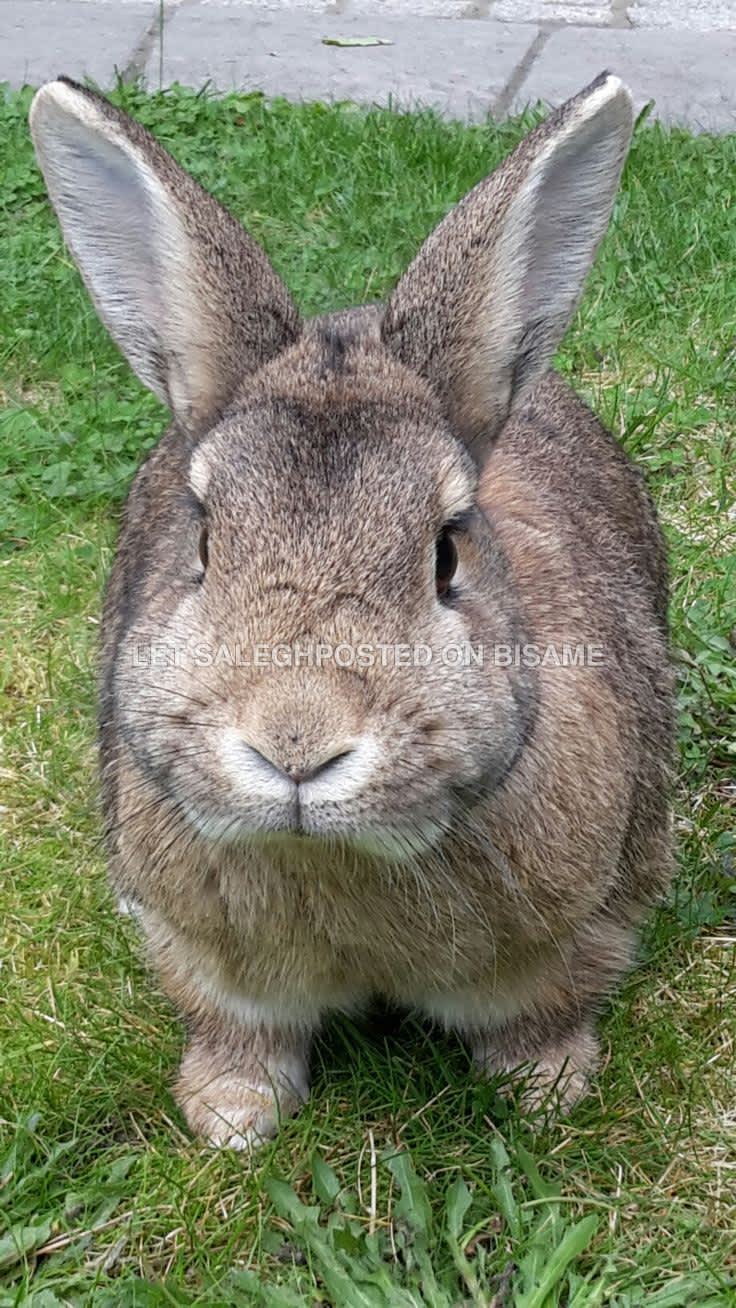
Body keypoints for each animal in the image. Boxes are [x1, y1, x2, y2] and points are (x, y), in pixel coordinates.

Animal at [30, 72, 674, 1150]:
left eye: (447, 552)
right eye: (203, 543)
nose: (297, 744)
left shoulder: (578, 928)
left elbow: (546, 1008)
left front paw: (544, 1089)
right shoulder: (205, 960)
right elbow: (237, 1030)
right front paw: (231, 1117)